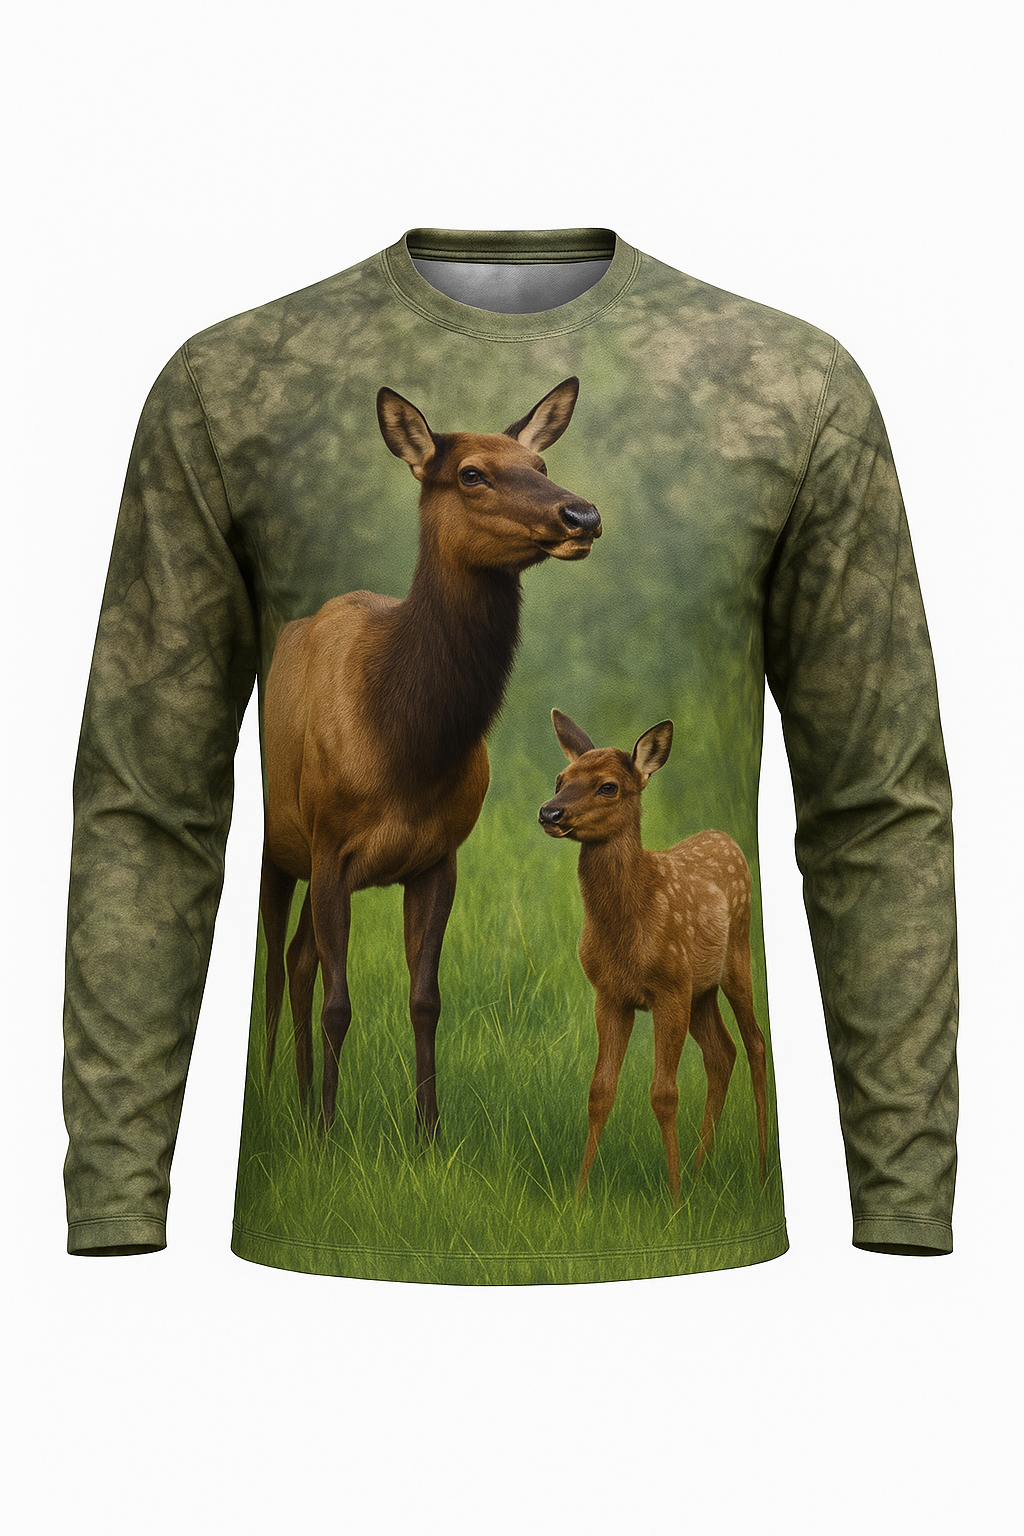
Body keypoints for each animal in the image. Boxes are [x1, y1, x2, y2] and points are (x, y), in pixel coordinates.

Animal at [260, 378, 601, 1139]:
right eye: (471, 473)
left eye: (540, 463)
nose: (583, 513)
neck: (403, 749)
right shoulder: (330, 845)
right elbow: (340, 1002)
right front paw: (329, 1138)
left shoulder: (439, 854)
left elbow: (425, 999)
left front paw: (428, 1133)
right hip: (279, 843)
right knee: (275, 962)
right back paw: (278, 1101)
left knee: (297, 958)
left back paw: (295, 1099)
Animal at [538, 710, 768, 1205]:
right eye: (561, 778)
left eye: (608, 786)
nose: (549, 812)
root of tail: (726, 838)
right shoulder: (610, 994)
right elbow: (599, 1091)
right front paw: (579, 1197)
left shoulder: (667, 990)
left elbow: (664, 1093)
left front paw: (674, 1201)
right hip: (699, 991)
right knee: (723, 1052)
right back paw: (701, 1170)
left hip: (735, 960)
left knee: (756, 1043)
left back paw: (759, 1172)